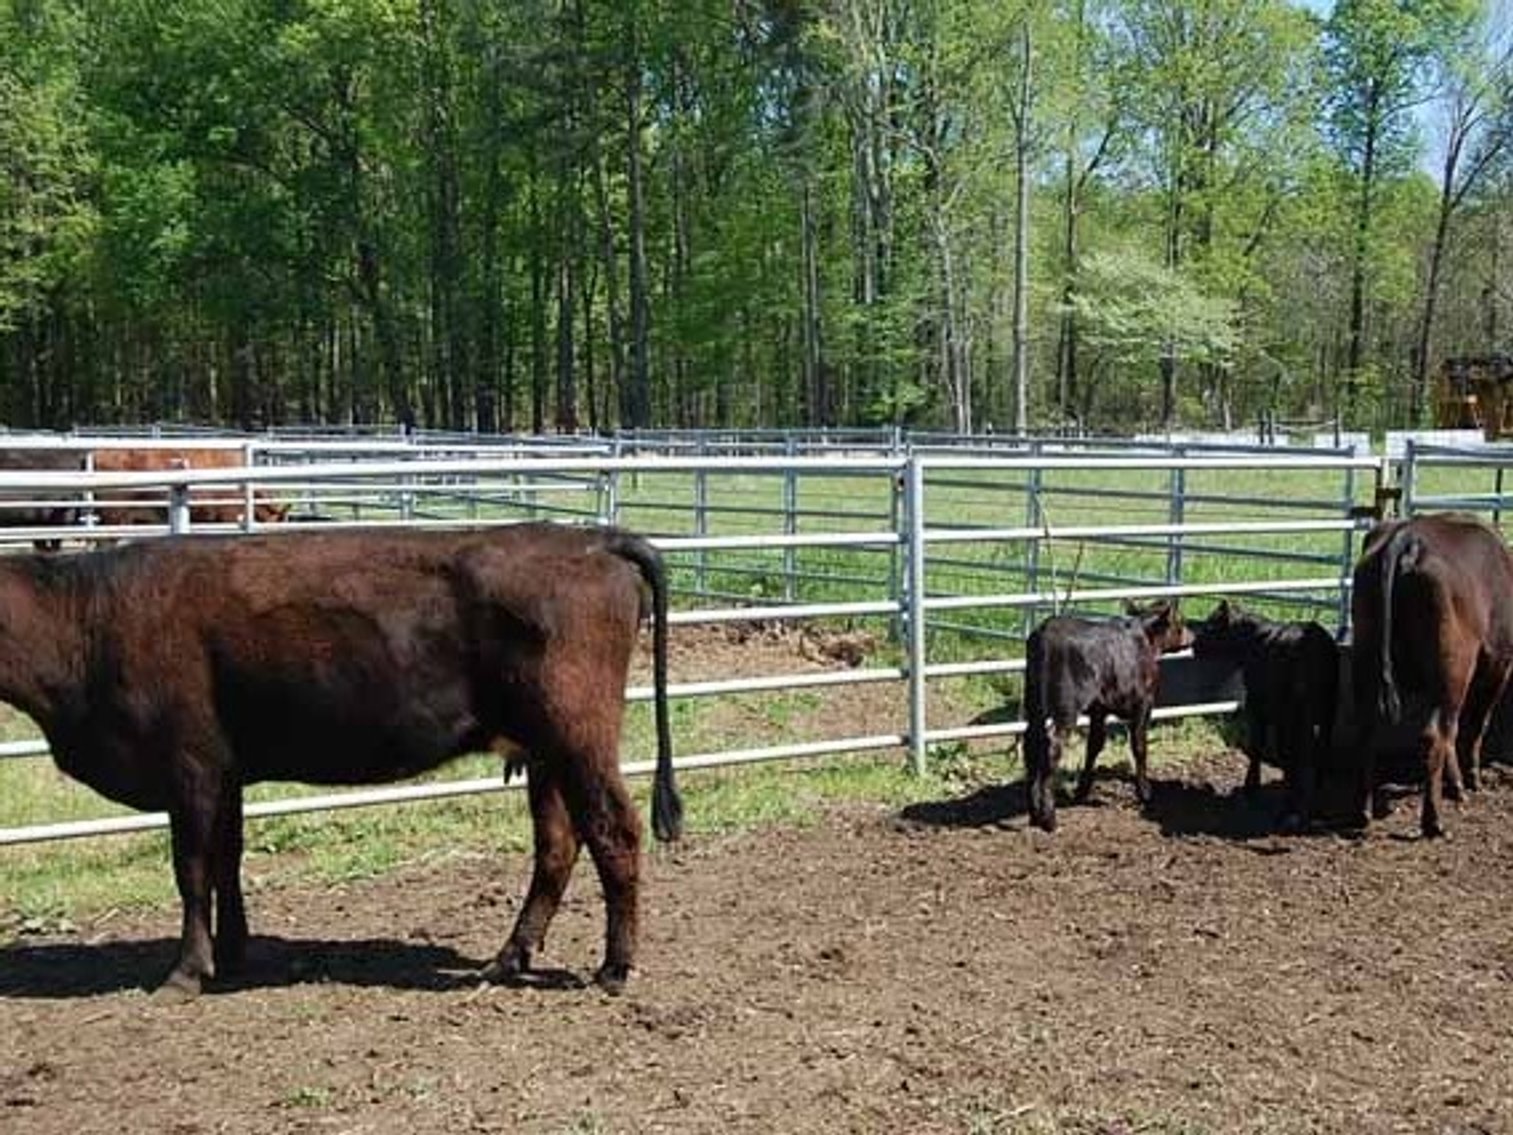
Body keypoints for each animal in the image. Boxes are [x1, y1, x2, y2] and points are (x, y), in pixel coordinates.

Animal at [0, 522, 681, 997]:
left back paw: (615, 966)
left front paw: (187, 970)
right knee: (557, 846)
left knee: (614, 832)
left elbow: (191, 871)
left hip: (579, 735)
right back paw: (507, 958)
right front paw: (234, 951)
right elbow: (227, 861)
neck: (89, 620)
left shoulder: (188, 766)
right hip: (546, 751)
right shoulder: (226, 771)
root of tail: (592, 539)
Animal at [1023, 599, 1192, 832]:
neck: (1145, 637)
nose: (1193, 635)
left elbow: (1094, 745)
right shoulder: (1144, 703)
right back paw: (1049, 818)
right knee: (1052, 747)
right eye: (1181, 621)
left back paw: (1033, 814)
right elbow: (1139, 745)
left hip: (1033, 702)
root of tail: (1045, 632)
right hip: (1065, 708)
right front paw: (1145, 792)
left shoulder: (1099, 710)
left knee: (1030, 742)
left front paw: (1082, 790)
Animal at [1190, 599, 1339, 828]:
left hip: (1297, 714)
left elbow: (1258, 746)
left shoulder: (1259, 708)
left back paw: (1291, 809)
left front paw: (1251, 788)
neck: (1254, 640)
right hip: (1327, 711)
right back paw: (1315, 802)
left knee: (1299, 754)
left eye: (1211, 625)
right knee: (1320, 751)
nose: (1194, 645)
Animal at [1350, 512, 1513, 838]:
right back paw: (1433, 821)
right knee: (1436, 734)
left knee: (1367, 731)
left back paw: (1364, 812)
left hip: (1368, 660)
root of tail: (1408, 536)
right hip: (1454, 670)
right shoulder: (1499, 664)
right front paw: (1470, 780)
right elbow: (1476, 724)